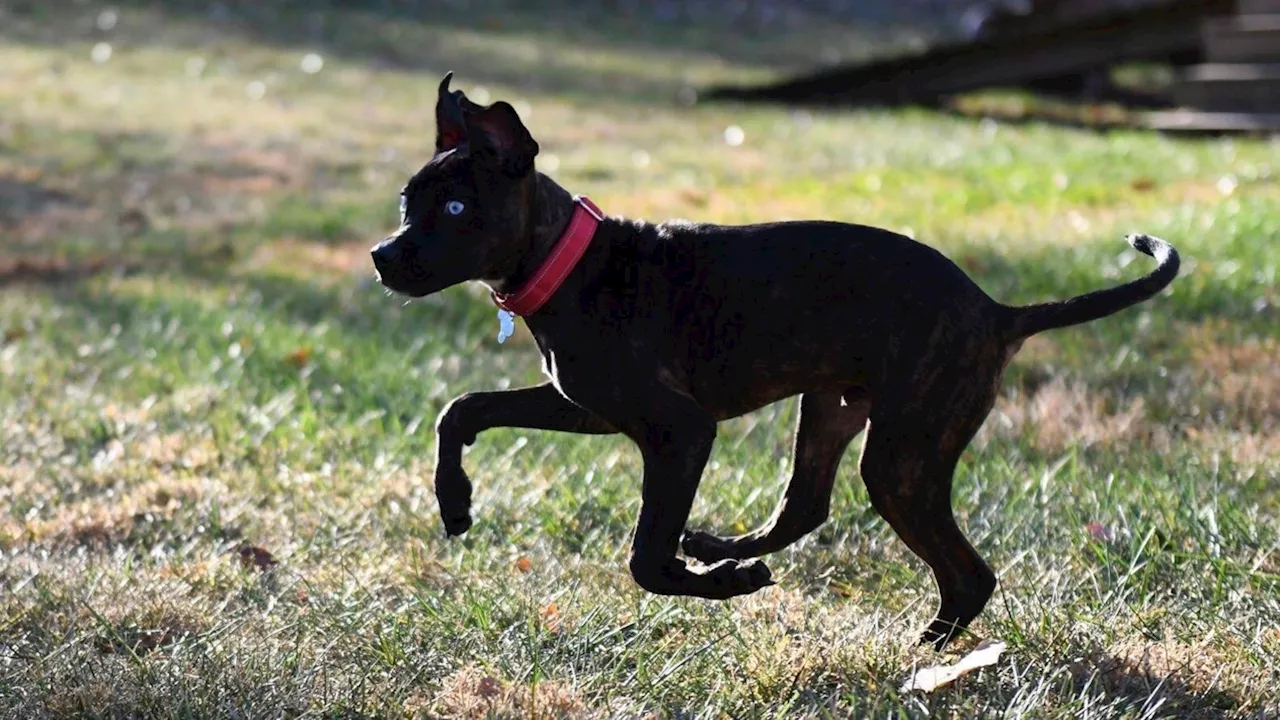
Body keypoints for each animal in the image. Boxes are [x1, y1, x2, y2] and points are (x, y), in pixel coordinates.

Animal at [368, 71, 1177, 645]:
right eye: (409, 202)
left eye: (456, 210)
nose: (381, 256)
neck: (573, 266)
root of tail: (995, 311)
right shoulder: (588, 407)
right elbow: (461, 409)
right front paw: (454, 500)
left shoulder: (678, 431)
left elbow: (646, 558)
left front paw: (722, 587)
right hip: (834, 412)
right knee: (806, 505)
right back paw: (727, 545)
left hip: (903, 455)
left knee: (968, 572)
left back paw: (923, 649)